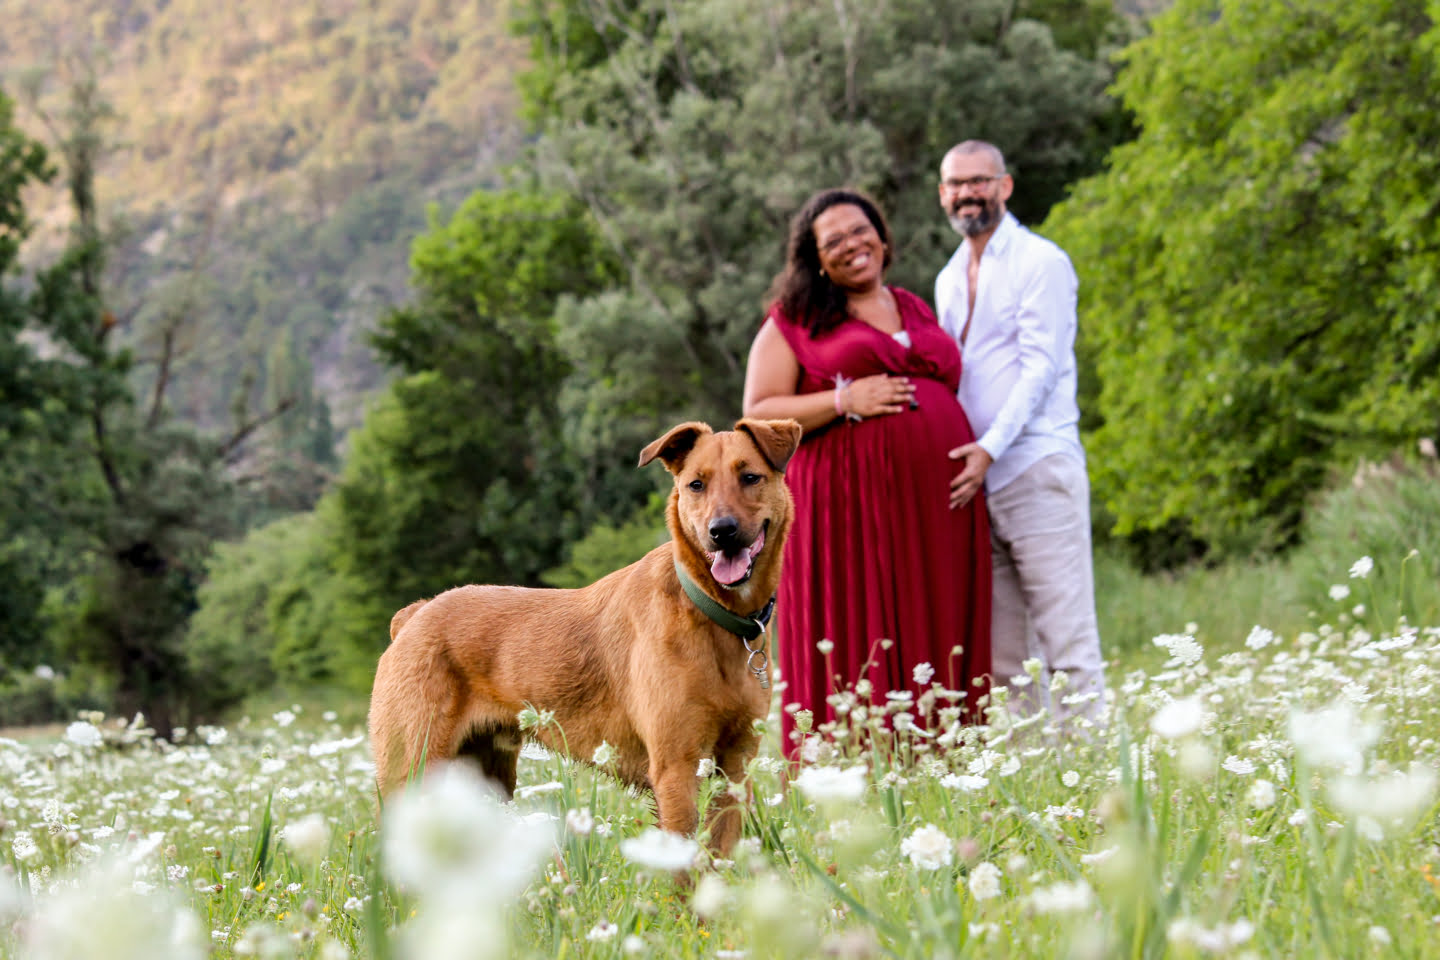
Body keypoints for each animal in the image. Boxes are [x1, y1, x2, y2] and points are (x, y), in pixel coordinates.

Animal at [365, 417, 806, 852]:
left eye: (750, 477)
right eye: (696, 484)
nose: (721, 531)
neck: (711, 611)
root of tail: (415, 614)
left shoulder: (736, 767)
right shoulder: (676, 768)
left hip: (485, 778)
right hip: (412, 772)